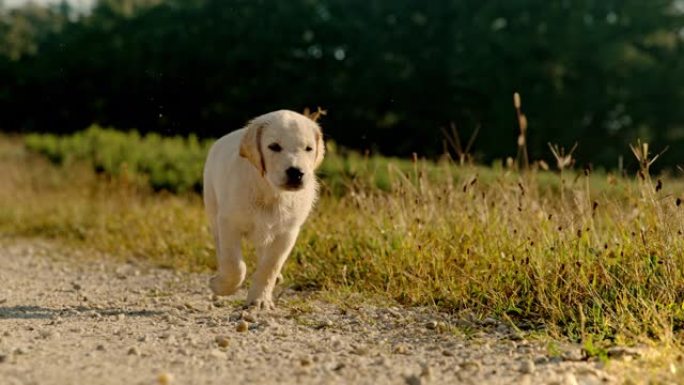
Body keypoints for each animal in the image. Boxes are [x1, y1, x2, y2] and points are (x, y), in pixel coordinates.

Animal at [202, 109, 324, 308]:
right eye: (274, 147)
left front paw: (260, 299)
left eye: (308, 148)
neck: (269, 191)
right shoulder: (229, 223)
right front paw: (220, 286)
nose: (296, 173)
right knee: (221, 248)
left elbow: (270, 266)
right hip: (213, 208)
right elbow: (235, 265)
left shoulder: (287, 232)